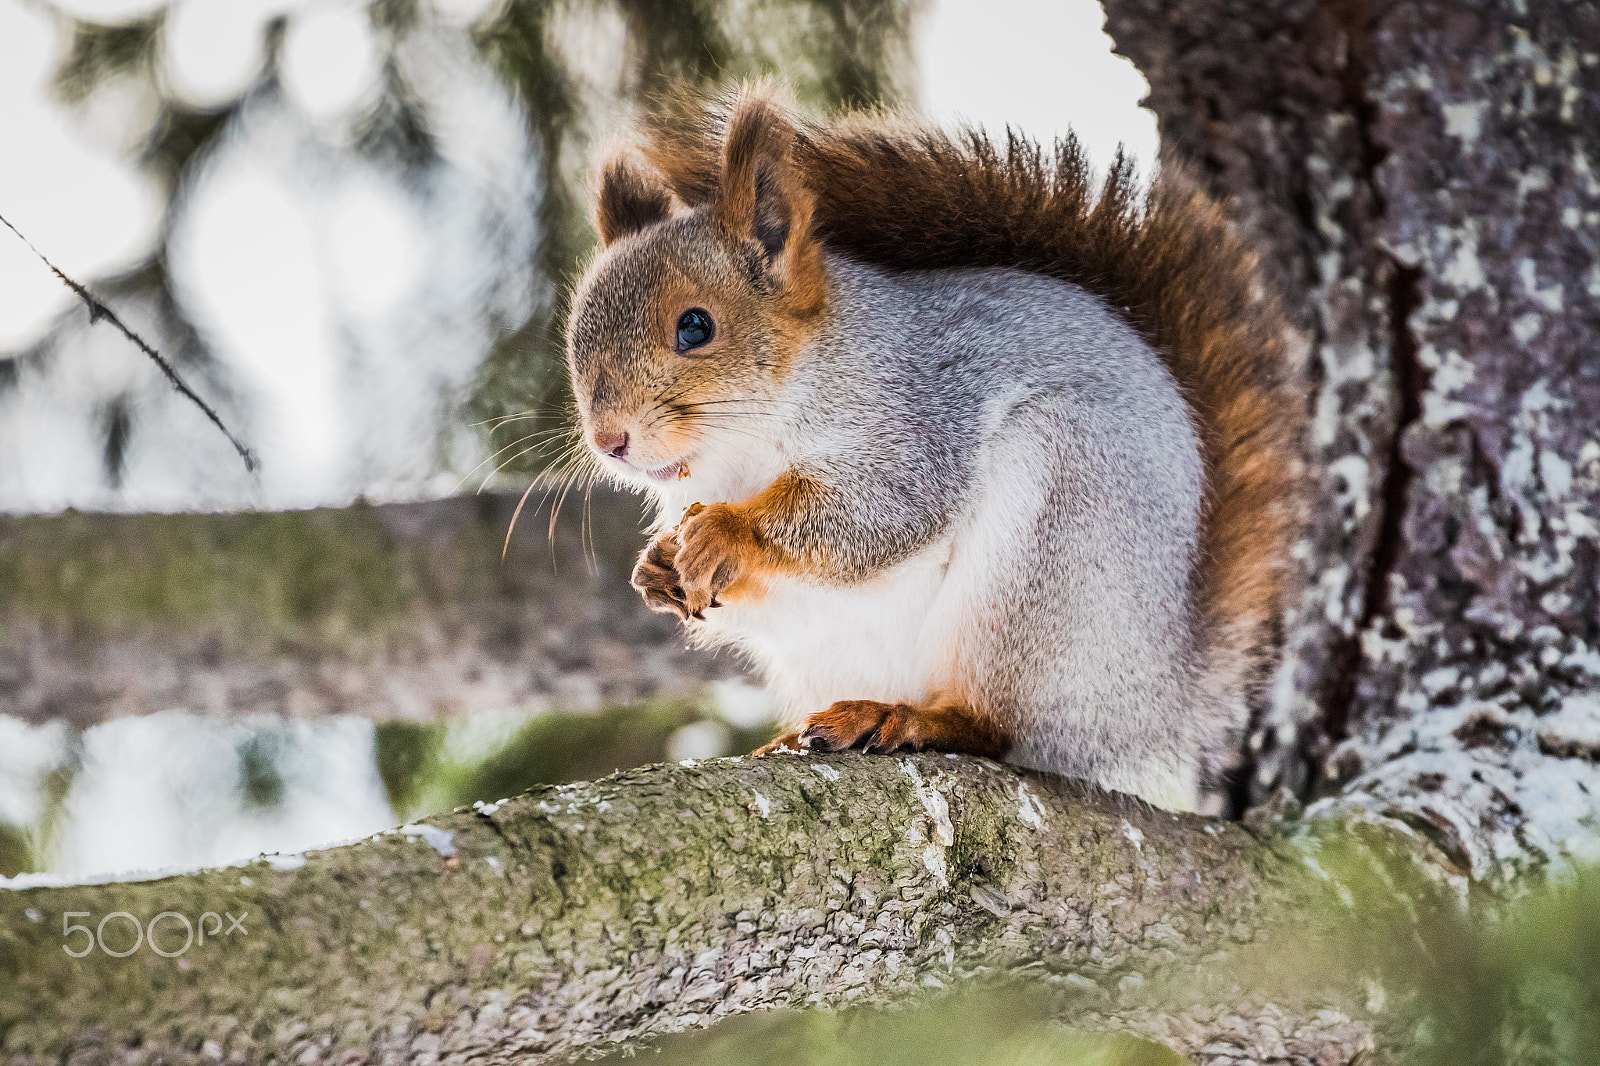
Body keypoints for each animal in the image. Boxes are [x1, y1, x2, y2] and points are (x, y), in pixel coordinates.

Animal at [563, 85, 1303, 812]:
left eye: (696, 327)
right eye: (575, 337)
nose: (611, 441)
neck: (739, 455)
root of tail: (1164, 701)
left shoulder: (918, 422)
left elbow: (878, 513)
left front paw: (728, 531)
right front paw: (657, 566)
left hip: (1048, 553)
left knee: (999, 727)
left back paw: (913, 719)